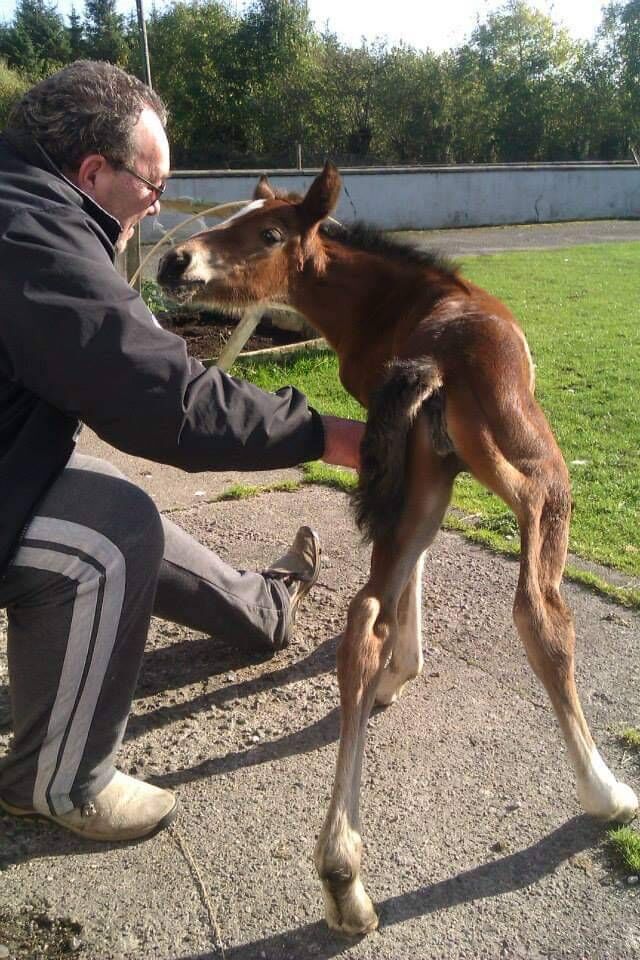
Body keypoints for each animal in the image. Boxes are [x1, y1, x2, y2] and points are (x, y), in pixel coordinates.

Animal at [157, 161, 638, 936]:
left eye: (267, 232)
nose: (174, 262)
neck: (394, 300)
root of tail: (435, 355)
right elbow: (432, 573)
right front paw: (409, 669)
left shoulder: (410, 467)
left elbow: (409, 573)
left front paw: (398, 675)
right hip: (542, 474)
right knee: (539, 613)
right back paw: (606, 793)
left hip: (433, 474)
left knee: (364, 617)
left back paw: (342, 877)